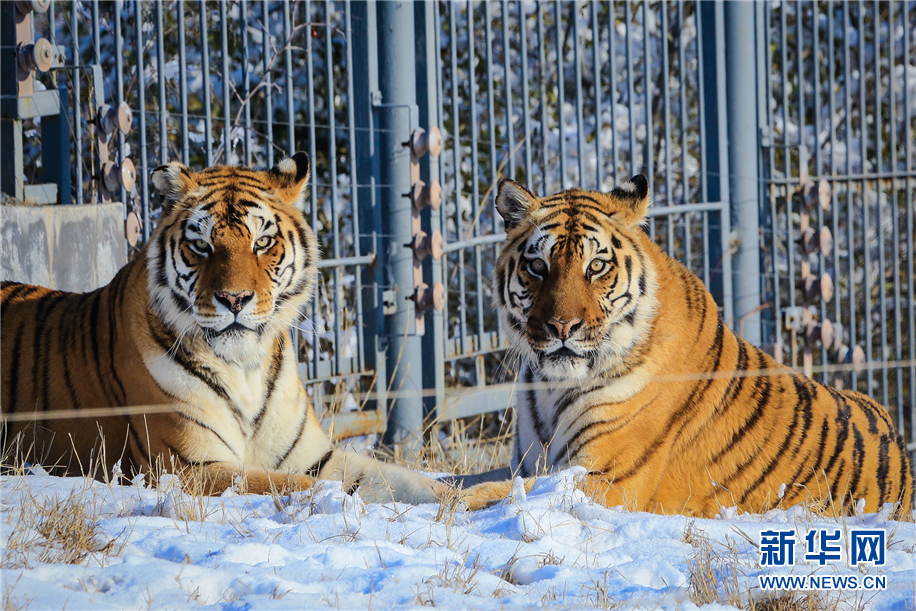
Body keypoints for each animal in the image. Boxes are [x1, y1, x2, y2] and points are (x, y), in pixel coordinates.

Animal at [0, 154, 448, 506]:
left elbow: (405, 482)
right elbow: (299, 486)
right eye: (201, 246)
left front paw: (461, 502)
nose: (235, 299)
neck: (245, 367)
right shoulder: (191, 467)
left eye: (262, 242)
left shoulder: (313, 456)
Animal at [452, 175, 916, 520]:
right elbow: (475, 478)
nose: (562, 326)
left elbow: (505, 491)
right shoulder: (530, 461)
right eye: (537, 266)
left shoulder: (609, 477)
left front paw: (452, 502)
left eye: (596, 266)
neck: (553, 387)